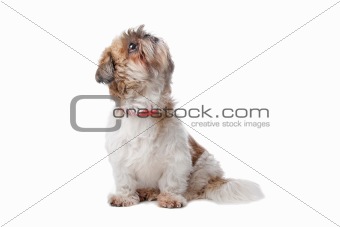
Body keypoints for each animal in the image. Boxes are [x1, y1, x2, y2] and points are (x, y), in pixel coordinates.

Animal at [94, 25, 264, 208]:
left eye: (146, 35)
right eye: (132, 46)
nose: (151, 36)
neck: (145, 109)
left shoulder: (177, 158)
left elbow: (172, 180)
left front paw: (171, 197)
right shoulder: (121, 158)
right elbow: (125, 181)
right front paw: (124, 197)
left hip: (204, 167)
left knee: (196, 187)